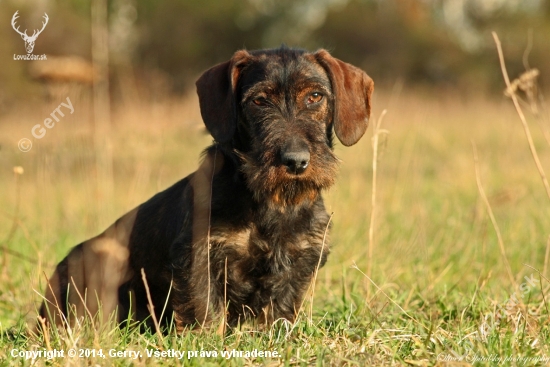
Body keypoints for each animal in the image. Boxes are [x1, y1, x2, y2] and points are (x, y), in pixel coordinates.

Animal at [38, 46, 376, 334]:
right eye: (259, 101)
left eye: (315, 96)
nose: (295, 161)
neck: (273, 202)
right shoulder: (200, 256)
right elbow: (206, 310)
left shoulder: (301, 260)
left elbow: (278, 311)